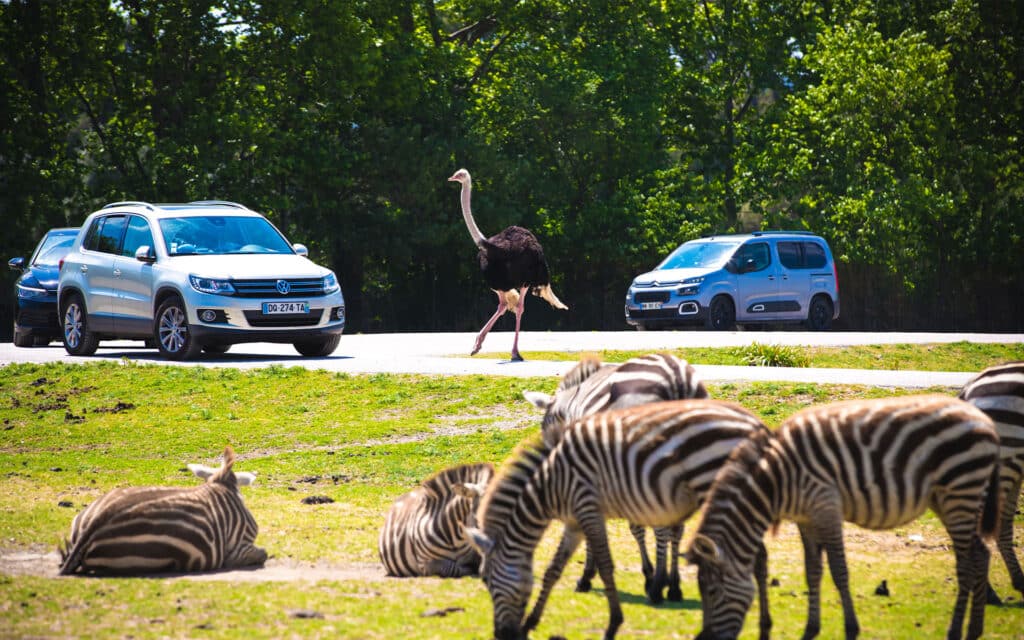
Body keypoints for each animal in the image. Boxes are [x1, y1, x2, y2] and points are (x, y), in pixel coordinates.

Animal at [465, 399, 772, 640]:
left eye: (485, 579)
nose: (501, 634)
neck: (550, 482)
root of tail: (755, 423)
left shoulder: (588, 508)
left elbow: (605, 566)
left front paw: (613, 624)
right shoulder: (574, 522)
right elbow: (553, 569)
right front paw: (530, 623)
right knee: (759, 556)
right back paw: (763, 626)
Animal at [523, 352, 709, 603]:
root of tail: (676, 376)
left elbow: (628, 526)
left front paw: (589, 576)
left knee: (662, 525)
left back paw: (658, 587)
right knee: (676, 526)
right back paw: (674, 587)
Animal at [685, 395, 1001, 640]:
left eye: (712, 592)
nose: (704, 638)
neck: (776, 480)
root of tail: (984, 420)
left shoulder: (826, 507)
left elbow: (839, 570)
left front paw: (850, 628)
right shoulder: (806, 519)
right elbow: (812, 571)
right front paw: (810, 629)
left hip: (961, 490)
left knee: (965, 564)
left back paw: (955, 630)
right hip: (949, 498)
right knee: (980, 553)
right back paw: (975, 629)